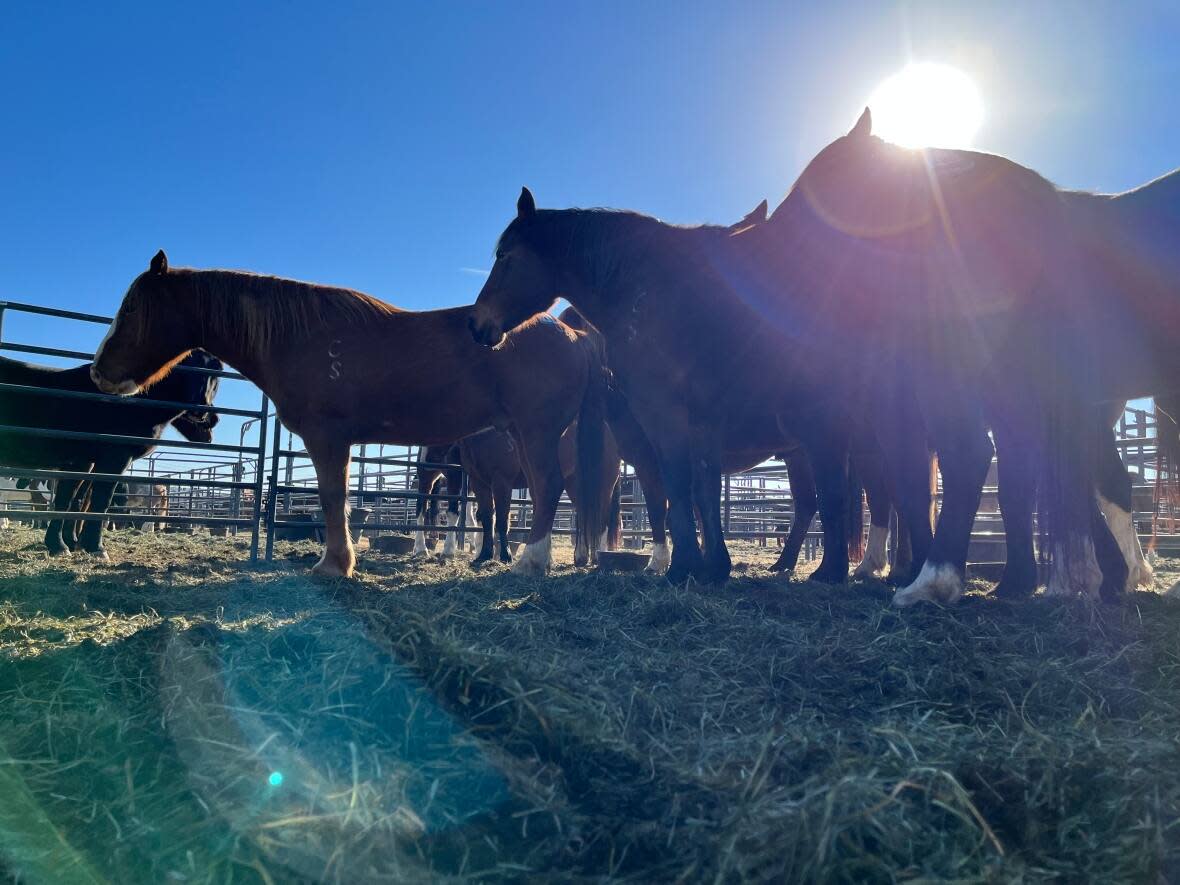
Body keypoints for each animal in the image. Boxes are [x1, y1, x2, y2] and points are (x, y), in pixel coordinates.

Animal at [0, 349, 221, 556]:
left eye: (216, 377)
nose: (210, 418)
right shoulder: (113, 459)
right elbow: (96, 500)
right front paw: (89, 546)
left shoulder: (84, 462)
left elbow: (74, 500)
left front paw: (68, 542)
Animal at [89, 251, 608, 582]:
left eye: (131, 307)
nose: (98, 372)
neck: (302, 338)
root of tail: (574, 334)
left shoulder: (327, 439)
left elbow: (332, 499)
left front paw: (334, 565)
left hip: (536, 432)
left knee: (549, 489)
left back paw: (530, 562)